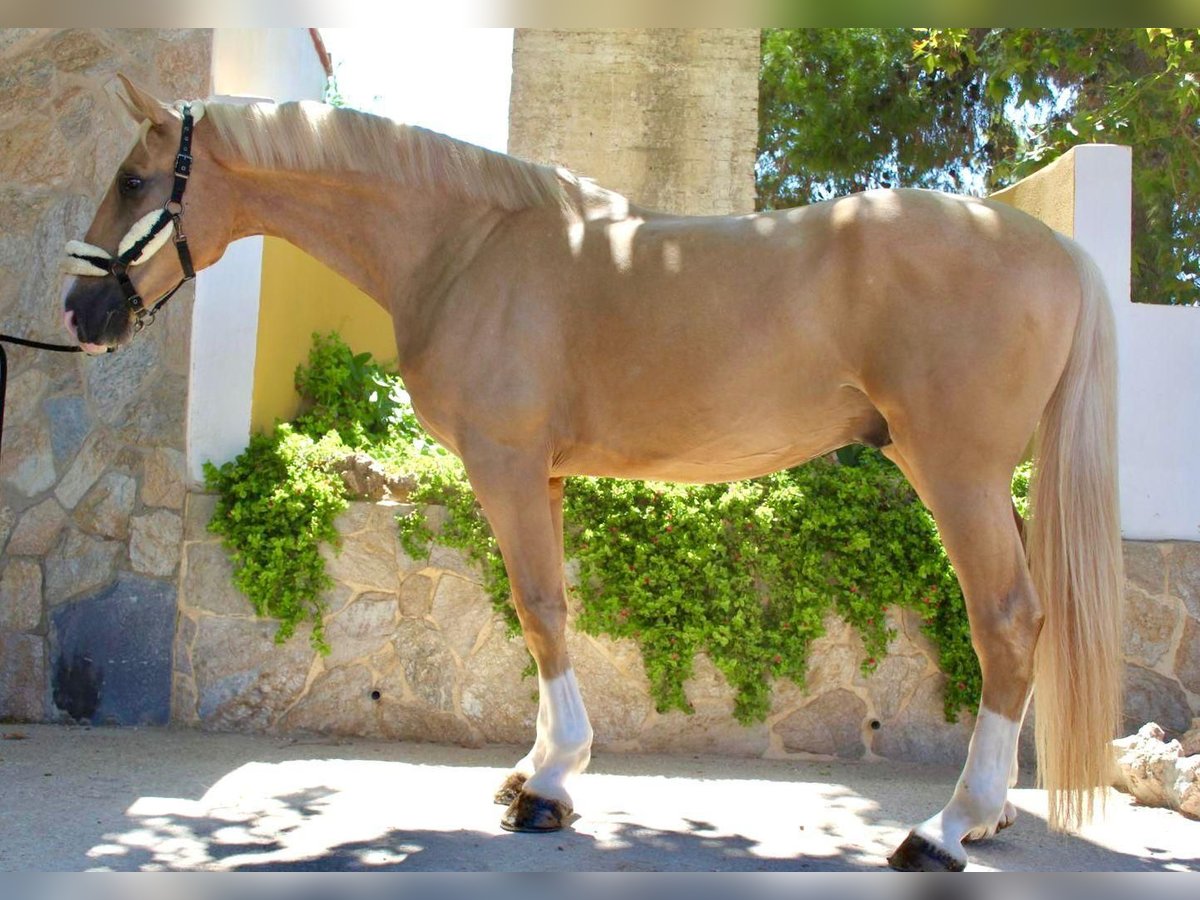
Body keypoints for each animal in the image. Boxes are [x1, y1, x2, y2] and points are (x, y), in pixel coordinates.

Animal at [60, 79, 1118, 873]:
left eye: (132, 178)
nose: (78, 312)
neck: (465, 247)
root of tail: (1059, 247)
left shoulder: (506, 464)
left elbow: (535, 608)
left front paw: (550, 789)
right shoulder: (547, 478)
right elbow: (550, 608)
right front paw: (536, 772)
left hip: (957, 472)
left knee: (1008, 622)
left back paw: (949, 826)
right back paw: (991, 815)